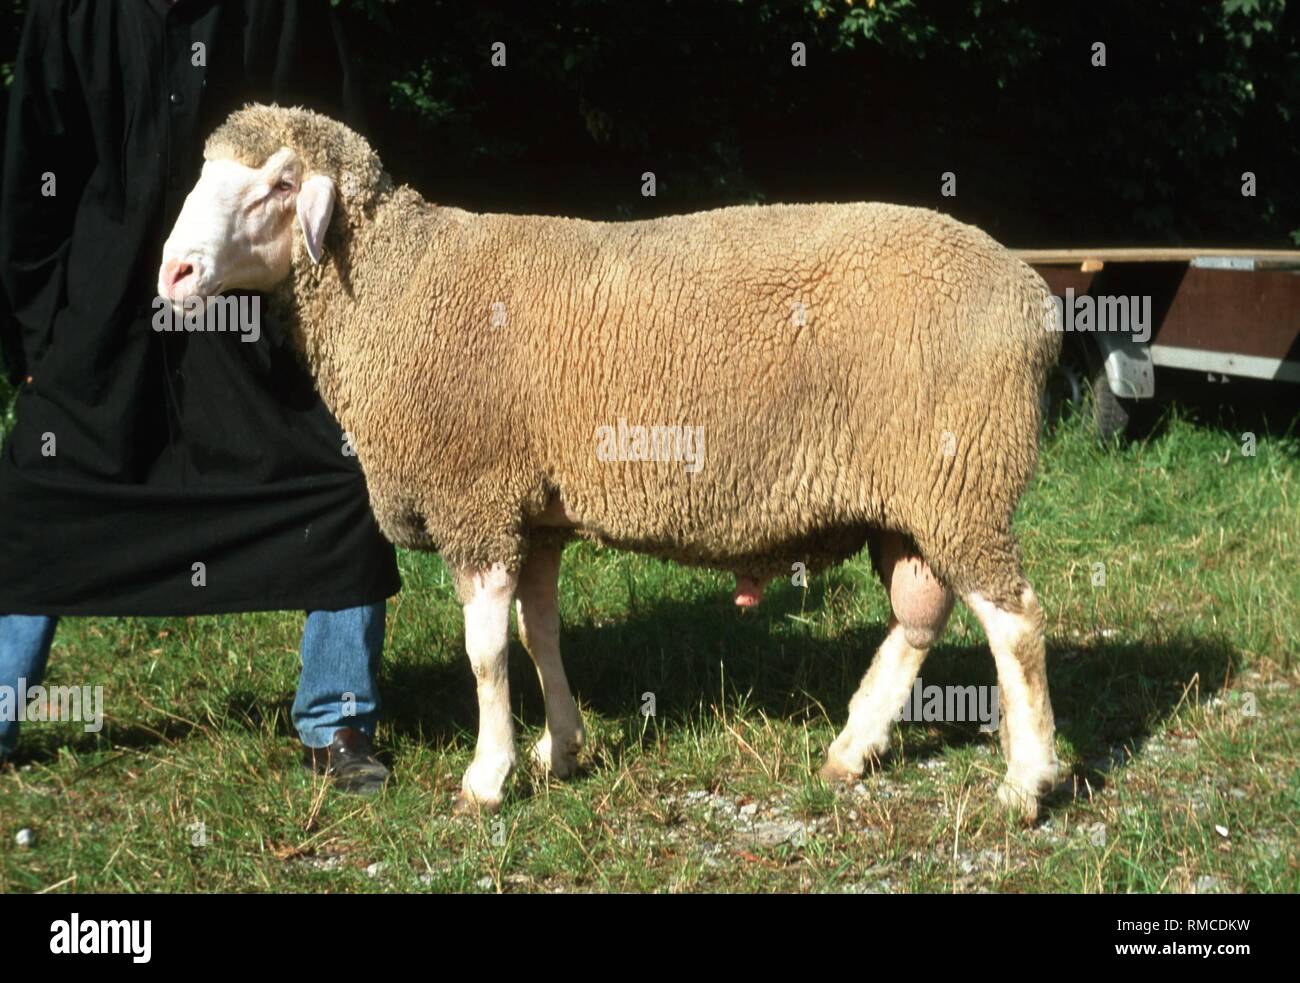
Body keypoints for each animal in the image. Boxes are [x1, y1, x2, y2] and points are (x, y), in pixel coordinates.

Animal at [154, 102, 1066, 821]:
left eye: (277, 183)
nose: (174, 273)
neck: (396, 287)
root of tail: (1031, 293)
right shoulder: (536, 510)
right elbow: (539, 632)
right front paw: (562, 750)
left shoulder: (475, 496)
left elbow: (485, 651)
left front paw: (488, 777)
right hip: (918, 494)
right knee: (923, 615)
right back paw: (852, 747)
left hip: (962, 472)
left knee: (1014, 618)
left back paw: (1027, 783)